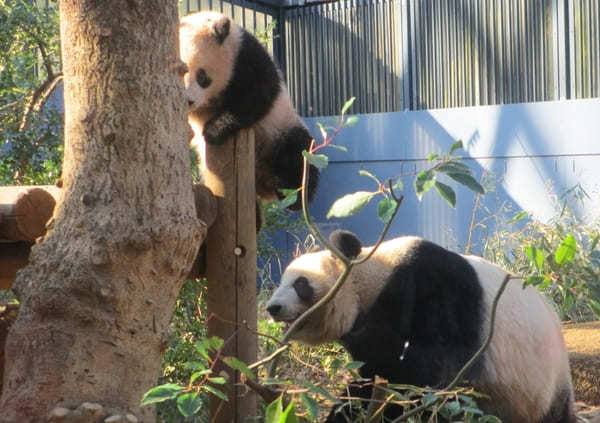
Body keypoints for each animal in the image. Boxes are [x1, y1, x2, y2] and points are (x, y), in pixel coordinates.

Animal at [179, 12, 316, 212]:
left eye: (202, 77)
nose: (188, 101)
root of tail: (262, 183)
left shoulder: (244, 56)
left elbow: (258, 95)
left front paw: (214, 131)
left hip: (281, 131)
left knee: (298, 155)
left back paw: (293, 196)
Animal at [268, 232, 576, 423]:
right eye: (282, 280)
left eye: (300, 283)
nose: (273, 307)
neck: (372, 276)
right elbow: (369, 382)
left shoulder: (434, 288)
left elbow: (436, 367)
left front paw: (360, 336)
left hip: (536, 388)